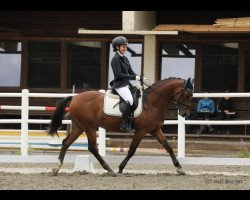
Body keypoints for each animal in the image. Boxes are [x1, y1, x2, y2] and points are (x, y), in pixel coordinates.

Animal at [48, 77, 193, 176]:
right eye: (186, 94)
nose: (185, 113)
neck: (153, 103)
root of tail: (75, 98)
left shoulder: (155, 130)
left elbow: (168, 147)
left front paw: (179, 168)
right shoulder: (141, 131)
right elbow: (132, 150)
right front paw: (120, 168)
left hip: (79, 127)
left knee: (66, 142)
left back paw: (56, 168)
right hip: (89, 126)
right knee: (92, 147)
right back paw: (110, 170)